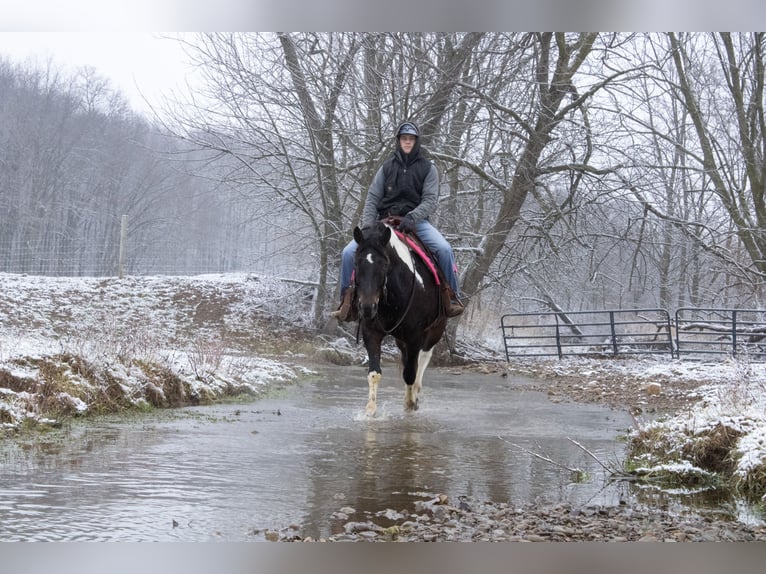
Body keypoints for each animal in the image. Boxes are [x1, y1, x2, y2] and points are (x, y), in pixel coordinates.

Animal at [350, 222, 448, 418]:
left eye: (384, 263)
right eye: (356, 262)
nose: (367, 307)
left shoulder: (415, 335)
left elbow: (410, 373)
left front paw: (410, 404)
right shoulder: (371, 332)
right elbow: (374, 372)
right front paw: (370, 410)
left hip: (434, 332)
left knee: (422, 360)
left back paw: (415, 395)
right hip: (401, 339)